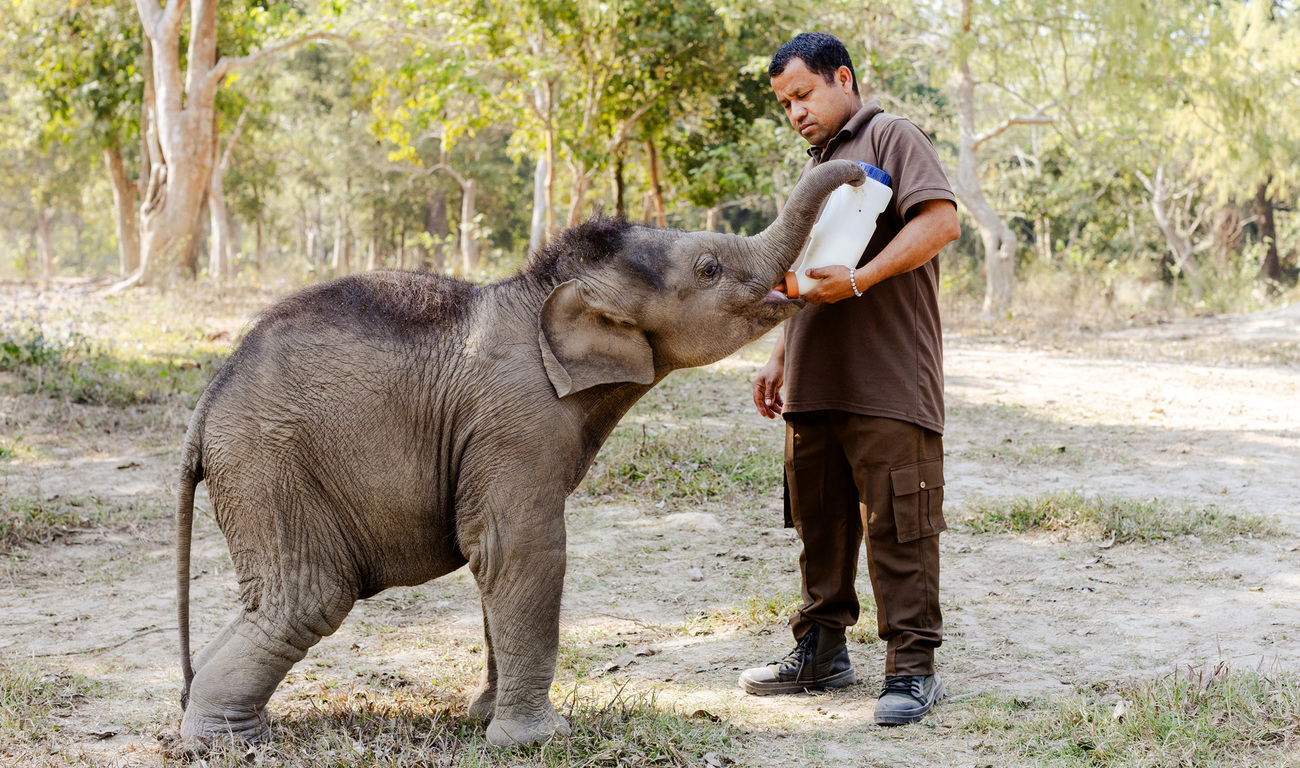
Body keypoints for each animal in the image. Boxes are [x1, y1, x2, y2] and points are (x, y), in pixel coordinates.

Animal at [174, 158, 867, 748]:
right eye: (709, 268)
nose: (862, 173)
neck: (547, 289)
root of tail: (204, 410)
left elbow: (494, 560)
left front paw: (484, 718)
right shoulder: (515, 421)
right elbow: (520, 549)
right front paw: (537, 741)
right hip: (270, 466)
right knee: (306, 598)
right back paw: (225, 744)